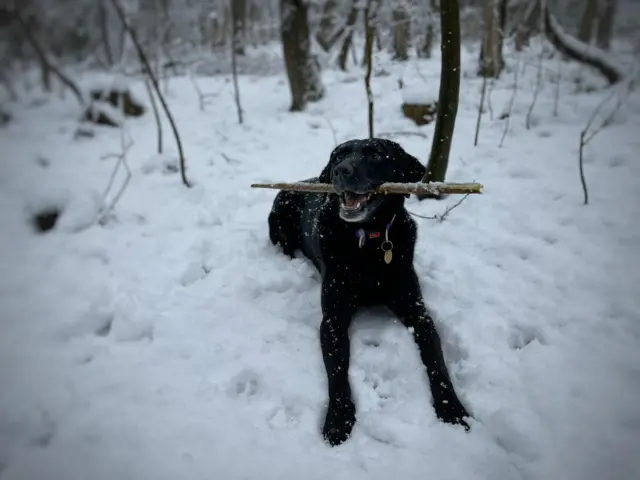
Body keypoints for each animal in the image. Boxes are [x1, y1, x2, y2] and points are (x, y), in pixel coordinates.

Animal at [268, 138, 468, 446]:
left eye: (375, 155)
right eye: (338, 156)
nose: (340, 170)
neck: (369, 241)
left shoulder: (418, 312)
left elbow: (436, 358)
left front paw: (451, 407)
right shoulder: (333, 320)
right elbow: (337, 372)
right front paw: (338, 419)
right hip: (279, 223)